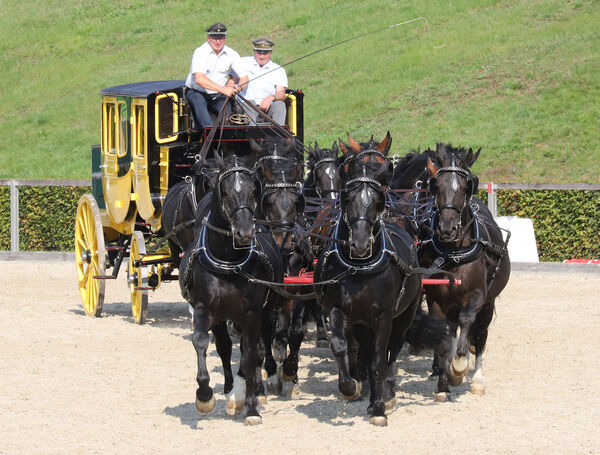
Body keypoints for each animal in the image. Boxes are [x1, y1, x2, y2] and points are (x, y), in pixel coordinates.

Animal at [178, 153, 284, 428]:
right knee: (226, 347)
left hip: (263, 311)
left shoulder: (252, 313)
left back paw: (255, 387)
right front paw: (205, 396)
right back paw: (229, 387)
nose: (245, 232)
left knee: (258, 346)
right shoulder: (205, 308)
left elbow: (250, 355)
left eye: (253, 191)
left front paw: (251, 407)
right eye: (224, 192)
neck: (227, 260)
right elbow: (202, 342)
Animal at [314, 133, 422, 428]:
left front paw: (379, 407)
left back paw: (386, 392)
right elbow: (341, 346)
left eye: (386, 172)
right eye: (348, 193)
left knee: (392, 350)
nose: (360, 241)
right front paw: (350, 387)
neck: (360, 265)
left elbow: (378, 361)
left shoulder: (384, 316)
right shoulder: (337, 309)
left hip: (405, 314)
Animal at [420, 144, 508, 400]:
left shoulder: (477, 296)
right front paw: (444, 381)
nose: (447, 228)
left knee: (479, 335)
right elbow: (443, 337)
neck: (454, 254)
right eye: (436, 186)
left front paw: (459, 367)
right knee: (455, 329)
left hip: (488, 303)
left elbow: (469, 323)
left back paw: (476, 375)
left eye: (466, 185)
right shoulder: (436, 300)